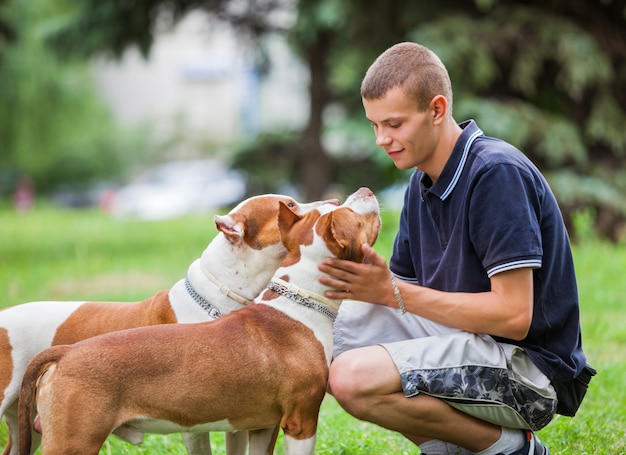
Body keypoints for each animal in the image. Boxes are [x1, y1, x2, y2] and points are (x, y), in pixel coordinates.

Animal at [18, 187, 380, 455]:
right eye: (352, 215)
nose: (360, 191)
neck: (297, 301)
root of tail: (66, 353)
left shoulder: (262, 425)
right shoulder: (301, 421)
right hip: (73, 441)